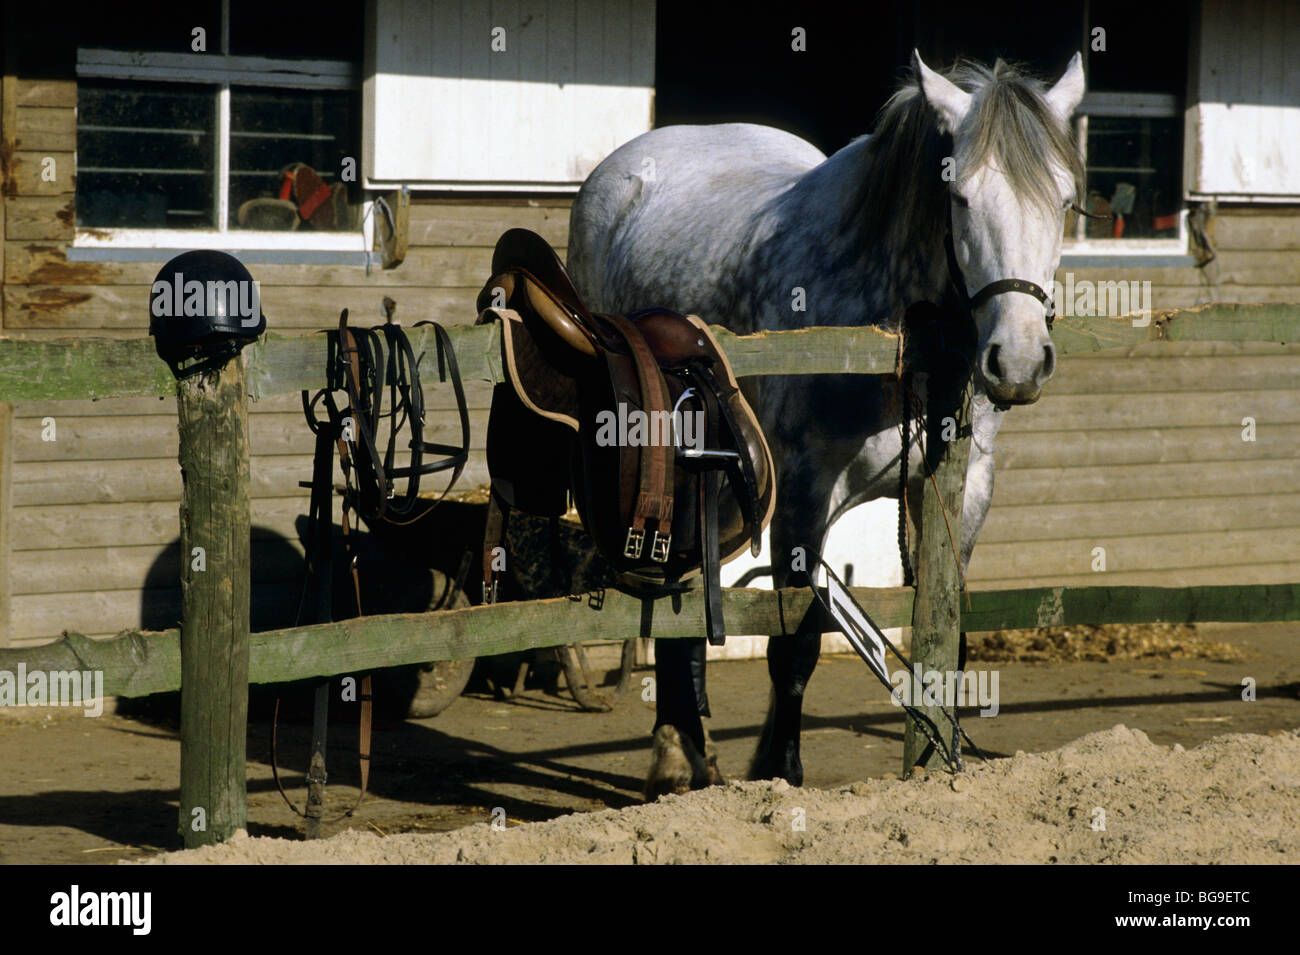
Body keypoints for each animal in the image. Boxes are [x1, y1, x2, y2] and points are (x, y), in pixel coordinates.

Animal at [566, 51, 1086, 798]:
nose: (1016, 360)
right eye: (960, 198)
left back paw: (686, 751)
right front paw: (779, 771)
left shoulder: (963, 492)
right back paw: (673, 755)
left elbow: (948, 634)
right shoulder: (803, 496)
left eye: (1066, 200)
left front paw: (937, 757)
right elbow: (796, 644)